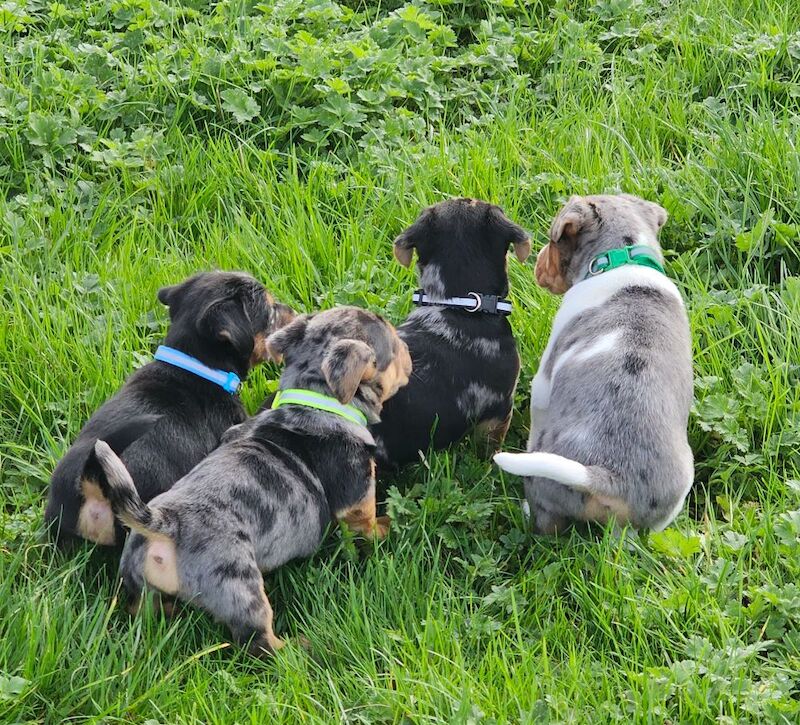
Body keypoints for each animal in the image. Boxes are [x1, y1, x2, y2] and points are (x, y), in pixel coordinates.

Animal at [88, 306, 412, 656]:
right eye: (394, 348)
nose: (409, 349)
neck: (314, 398)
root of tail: (166, 524)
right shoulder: (357, 496)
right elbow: (367, 524)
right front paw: (387, 526)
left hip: (140, 585)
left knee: (144, 609)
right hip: (239, 584)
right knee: (258, 642)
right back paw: (300, 647)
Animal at [494, 192, 692, 532]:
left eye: (554, 239)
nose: (537, 264)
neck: (622, 259)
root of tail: (608, 477)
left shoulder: (543, 383)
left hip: (546, 485)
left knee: (546, 524)